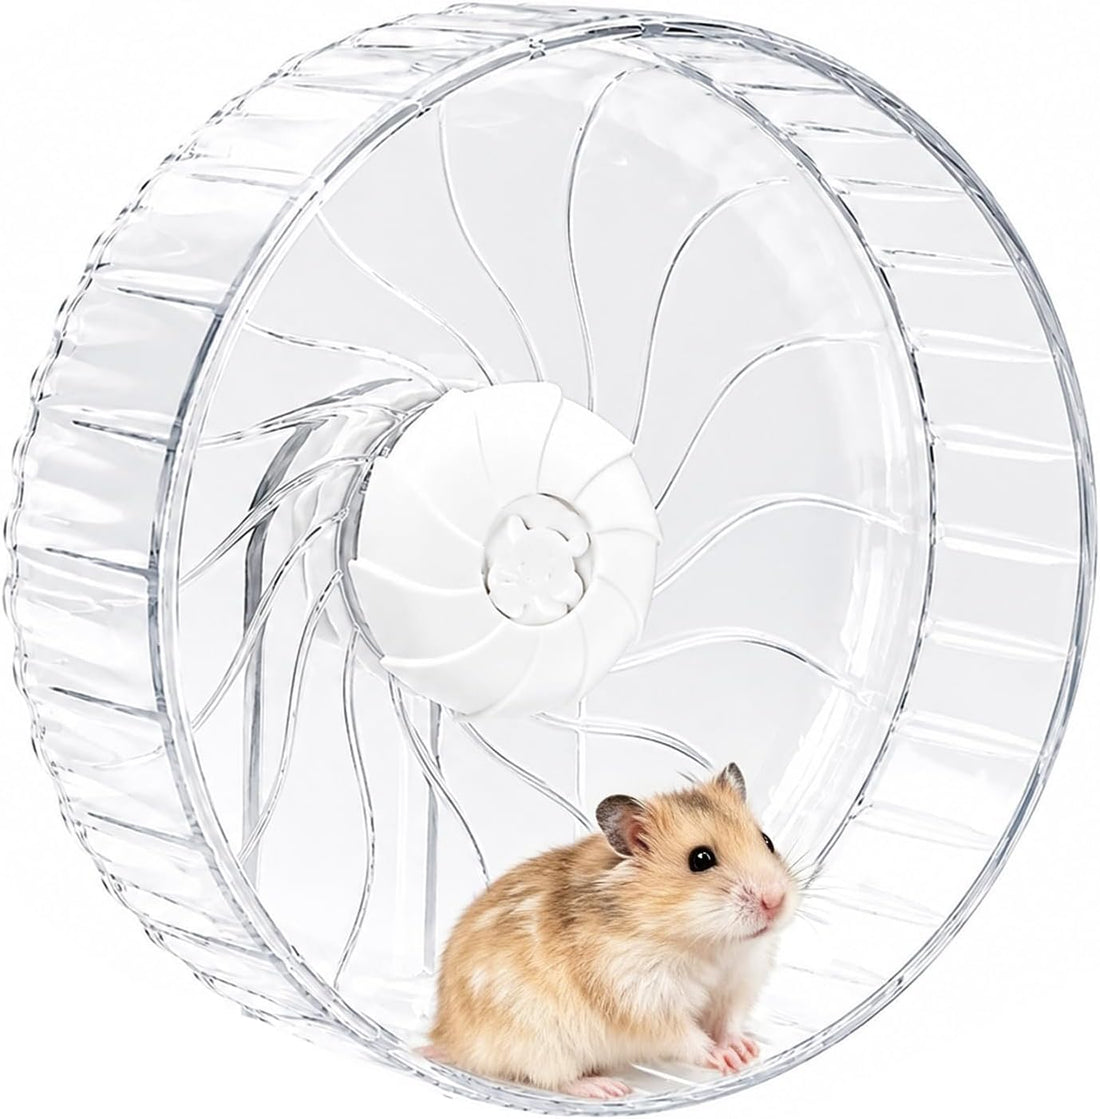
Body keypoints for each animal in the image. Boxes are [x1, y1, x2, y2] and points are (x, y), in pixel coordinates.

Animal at [427, 763, 798, 1099]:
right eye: (701, 859)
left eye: (767, 840)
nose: (775, 900)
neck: (707, 943)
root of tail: (445, 1036)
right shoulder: (644, 1000)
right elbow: (686, 1037)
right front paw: (724, 1057)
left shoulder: (739, 982)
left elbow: (729, 1021)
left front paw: (746, 1052)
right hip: (539, 1041)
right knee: (552, 1079)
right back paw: (608, 1088)